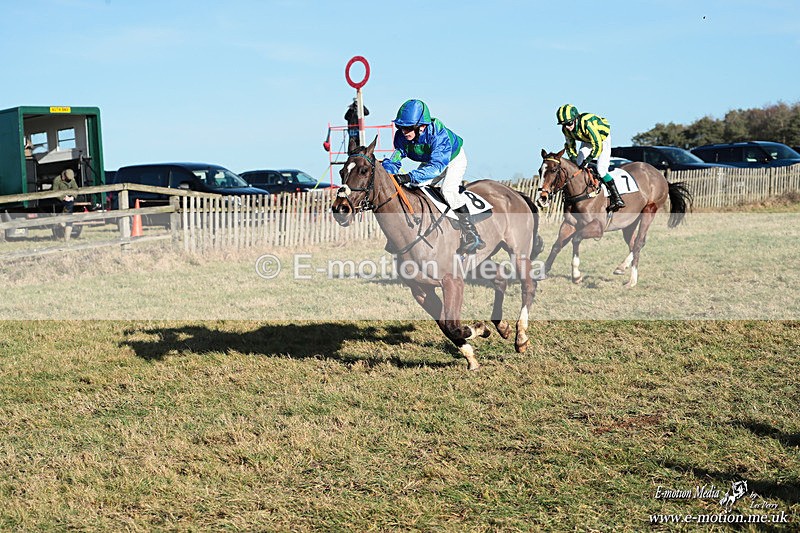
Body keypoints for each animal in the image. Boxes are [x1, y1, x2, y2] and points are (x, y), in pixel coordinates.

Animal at [332, 137, 543, 370]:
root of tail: (514, 192)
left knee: (528, 285)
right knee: (500, 278)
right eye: (341, 171)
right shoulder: (420, 290)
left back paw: (520, 337)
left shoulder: (452, 281)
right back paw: (502, 326)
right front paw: (472, 354)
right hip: (478, 261)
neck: (413, 229)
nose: (340, 209)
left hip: (518, 252)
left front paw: (478, 329)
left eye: (363, 170)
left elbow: (453, 324)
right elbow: (445, 325)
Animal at [536, 148, 693, 287]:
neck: (582, 191)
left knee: (639, 242)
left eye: (553, 170)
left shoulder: (597, 228)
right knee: (634, 243)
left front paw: (576, 275)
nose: (542, 198)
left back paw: (629, 277)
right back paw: (625, 271)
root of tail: (660, 175)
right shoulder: (569, 224)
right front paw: (543, 272)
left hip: (649, 211)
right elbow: (557, 245)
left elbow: (576, 239)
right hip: (629, 223)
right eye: (540, 170)